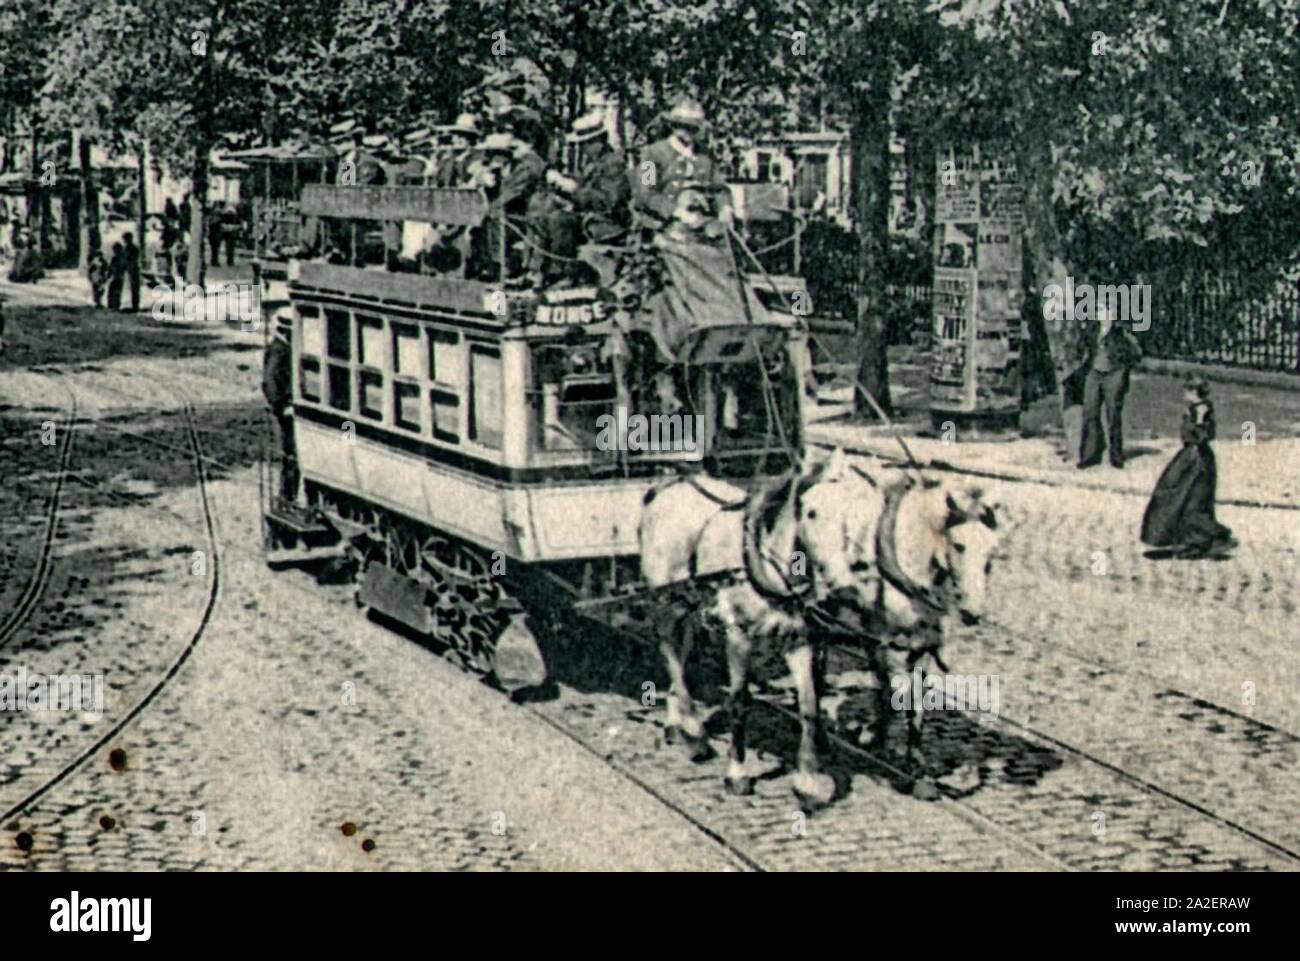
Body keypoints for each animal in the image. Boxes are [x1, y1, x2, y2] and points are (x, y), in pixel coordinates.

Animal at [637, 447, 993, 806]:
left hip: (689, 604)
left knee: (681, 649)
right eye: (959, 545)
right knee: (670, 652)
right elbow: (740, 702)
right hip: (668, 602)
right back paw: (691, 730)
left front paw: (908, 770)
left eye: (992, 553)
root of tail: (670, 484)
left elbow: (893, 705)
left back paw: (680, 720)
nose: (973, 612)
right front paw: (738, 774)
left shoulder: (893, 643)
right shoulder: (741, 636)